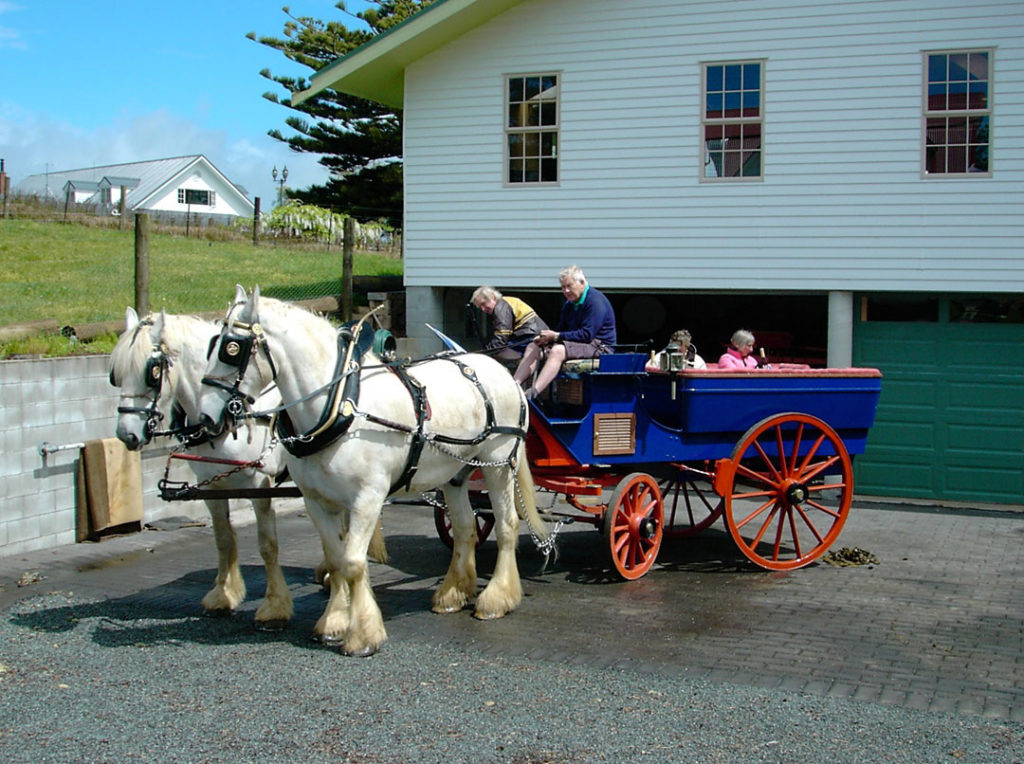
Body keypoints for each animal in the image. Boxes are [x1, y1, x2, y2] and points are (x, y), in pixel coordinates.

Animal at [110, 307, 387, 626]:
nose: (126, 435)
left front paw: (274, 606)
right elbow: (223, 539)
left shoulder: (259, 484)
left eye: (152, 372)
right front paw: (223, 595)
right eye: (116, 374)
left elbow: (267, 544)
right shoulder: (211, 485)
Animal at [196, 286, 548, 655]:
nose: (206, 419)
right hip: (457, 472)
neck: (341, 406)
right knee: (466, 528)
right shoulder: (316, 500)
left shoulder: (367, 498)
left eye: (231, 348)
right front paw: (334, 623)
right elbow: (336, 559)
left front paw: (363, 634)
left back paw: (497, 598)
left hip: (499, 463)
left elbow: (353, 562)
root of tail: (501, 372)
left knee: (507, 525)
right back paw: (453, 593)